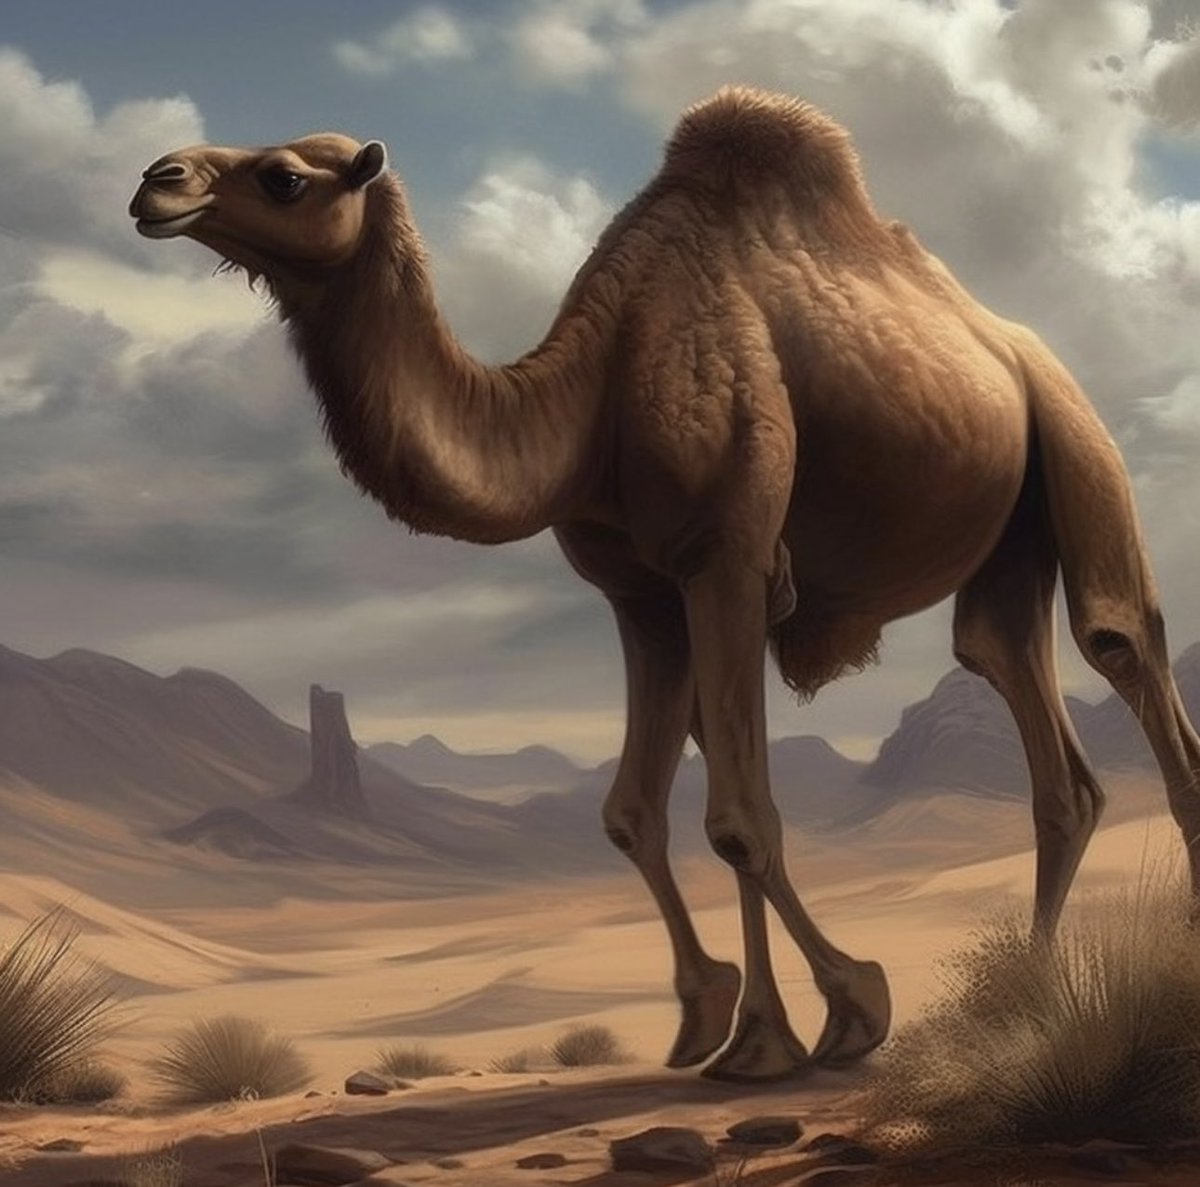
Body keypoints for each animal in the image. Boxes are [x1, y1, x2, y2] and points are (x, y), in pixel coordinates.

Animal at [129, 86, 1200, 1082]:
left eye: (284, 176)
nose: (155, 180)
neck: (590, 401)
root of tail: (1022, 345)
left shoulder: (725, 557)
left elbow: (740, 819)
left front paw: (834, 1014)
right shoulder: (641, 592)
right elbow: (641, 809)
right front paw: (718, 1018)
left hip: (1074, 434)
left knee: (1120, 640)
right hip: (1007, 539)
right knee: (1021, 701)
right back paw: (1024, 986)